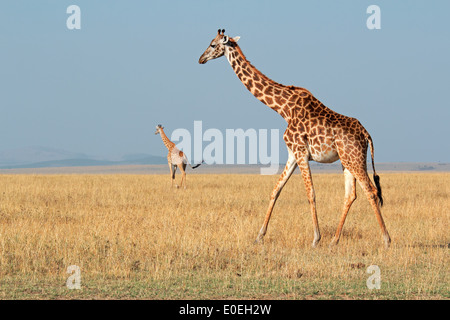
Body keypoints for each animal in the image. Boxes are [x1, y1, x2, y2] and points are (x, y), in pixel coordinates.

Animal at [197, 29, 390, 248]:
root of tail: (366, 134)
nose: (200, 59)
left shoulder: (301, 152)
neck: (283, 109)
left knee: (371, 191)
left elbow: (311, 193)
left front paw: (315, 239)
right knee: (351, 195)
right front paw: (259, 236)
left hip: (355, 158)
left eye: (212, 44)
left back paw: (386, 240)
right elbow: (276, 190)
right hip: (347, 160)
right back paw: (334, 241)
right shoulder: (292, 154)